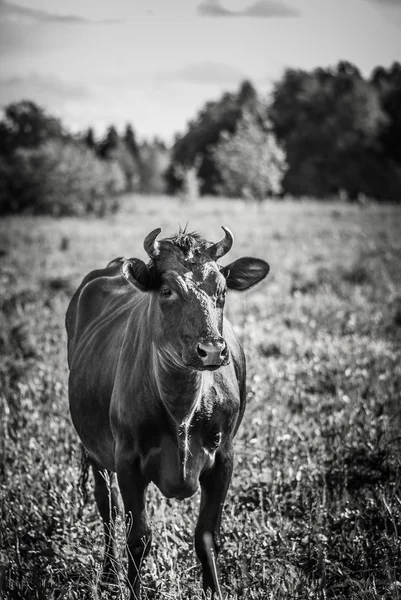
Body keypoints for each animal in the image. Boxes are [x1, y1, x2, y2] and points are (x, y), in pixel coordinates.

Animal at [66, 227, 268, 596]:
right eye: (166, 290)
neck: (181, 409)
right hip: (94, 448)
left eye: (221, 290)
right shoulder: (127, 460)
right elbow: (138, 537)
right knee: (106, 505)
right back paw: (107, 575)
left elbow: (206, 536)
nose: (211, 350)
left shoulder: (225, 457)